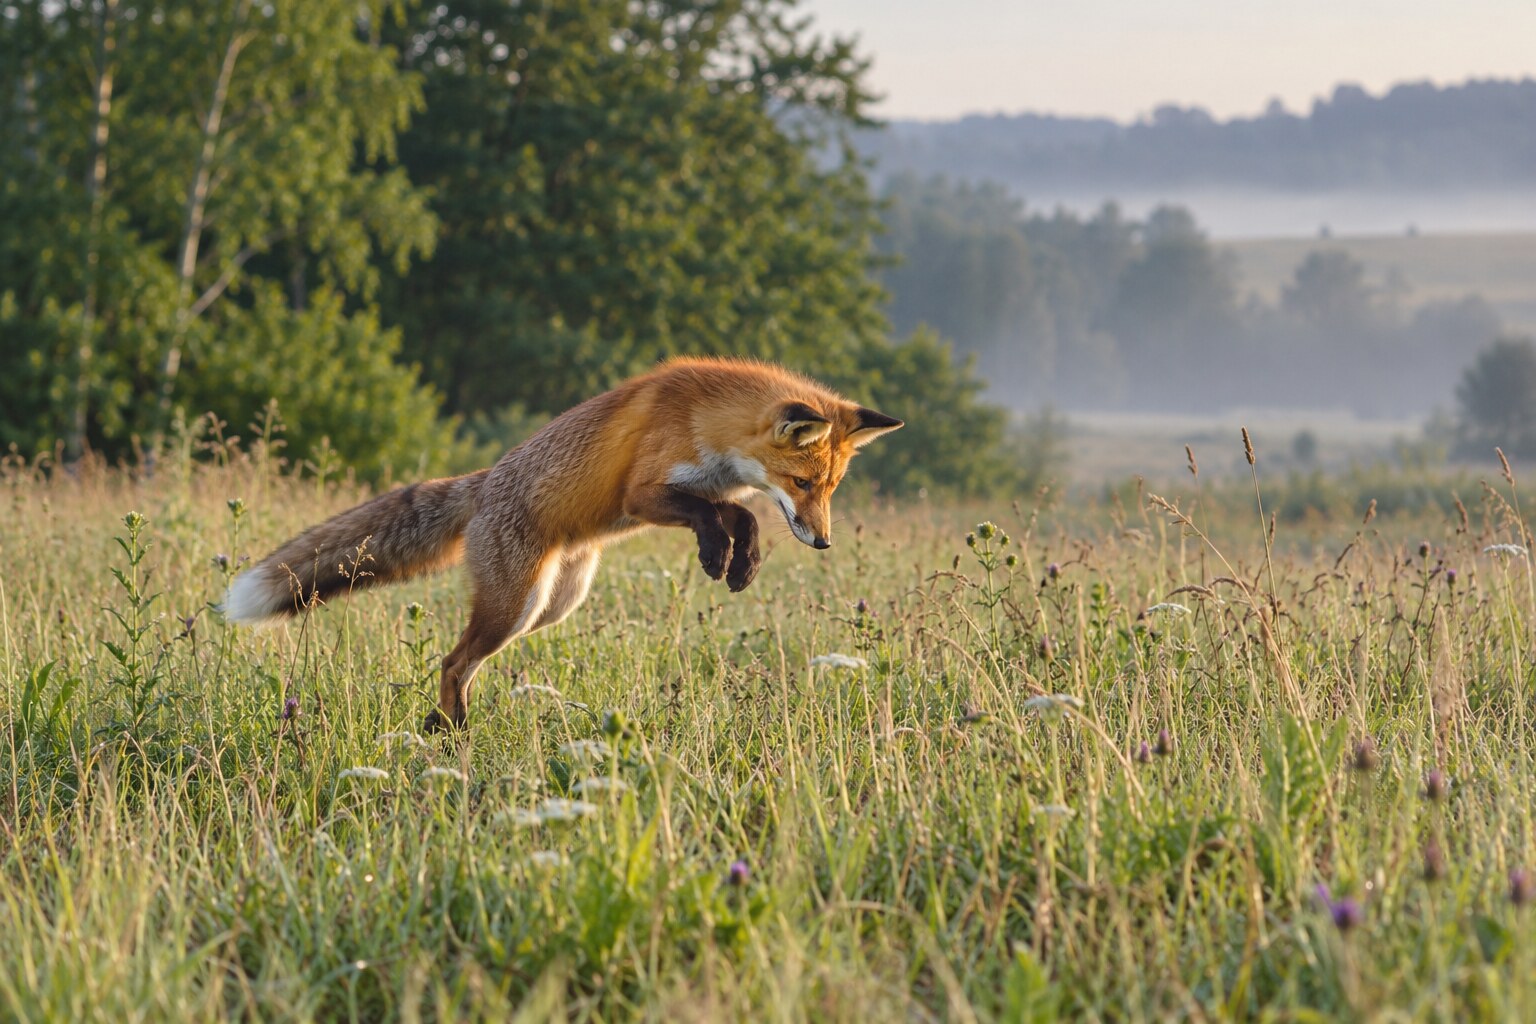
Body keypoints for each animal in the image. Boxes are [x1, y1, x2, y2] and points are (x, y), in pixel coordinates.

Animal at [224, 356, 902, 731]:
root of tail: (484, 482)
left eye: (832, 488)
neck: (709, 426)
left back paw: (440, 726)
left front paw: (742, 566)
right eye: (803, 483)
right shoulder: (642, 495)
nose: (823, 541)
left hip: (551, 606)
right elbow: (723, 512)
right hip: (515, 605)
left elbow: (741, 516)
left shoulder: (696, 494)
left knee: (461, 662)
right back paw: (453, 734)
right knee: (452, 661)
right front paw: (720, 558)